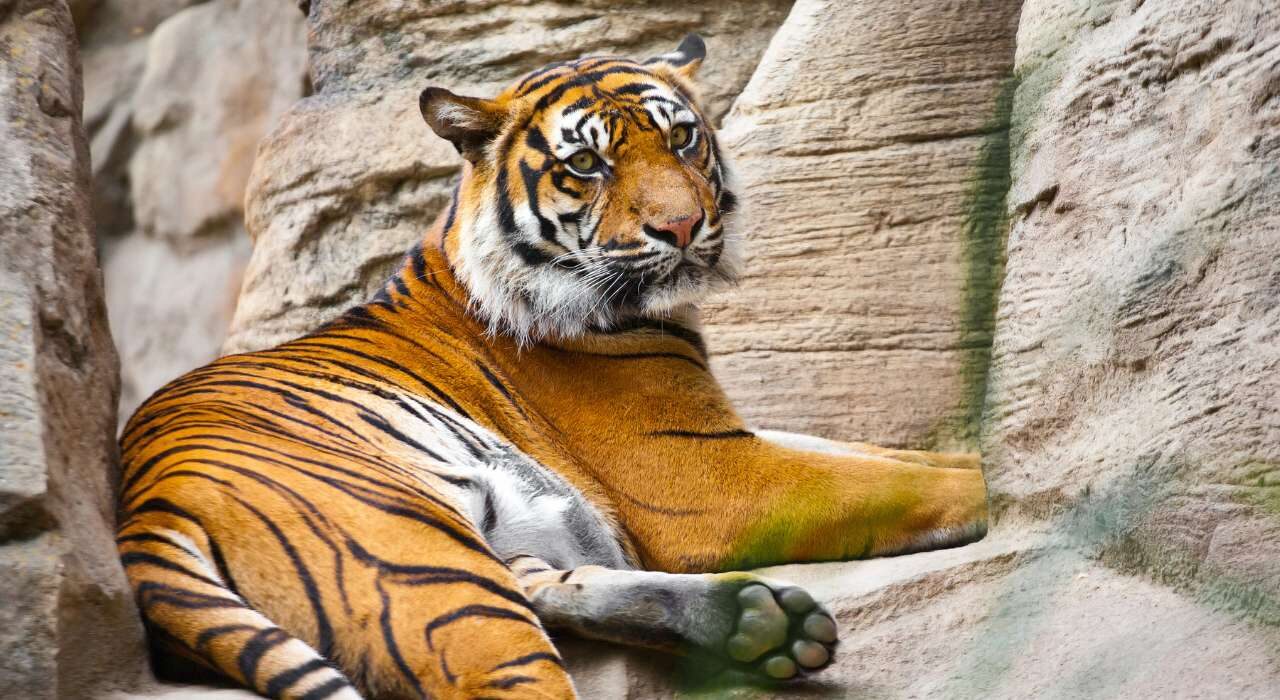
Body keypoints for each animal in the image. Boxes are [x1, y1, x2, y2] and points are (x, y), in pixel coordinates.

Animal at [116, 34, 989, 700]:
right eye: (588, 167)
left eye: (681, 139)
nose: (682, 227)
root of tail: (143, 512)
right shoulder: (709, 478)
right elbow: (900, 485)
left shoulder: (731, 436)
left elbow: (895, 458)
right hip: (429, 570)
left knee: (551, 585)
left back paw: (756, 624)